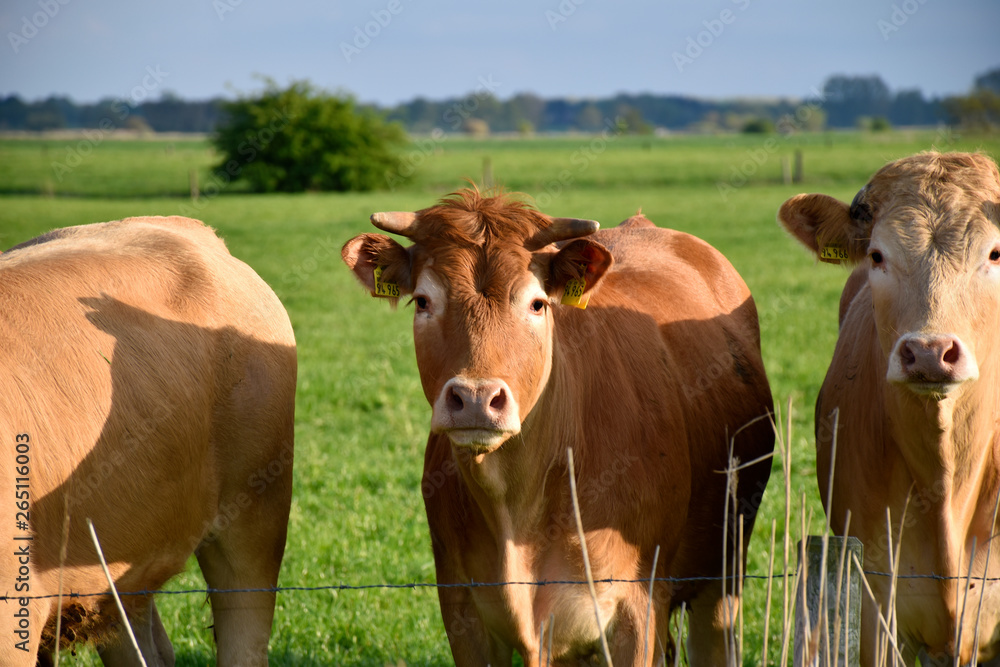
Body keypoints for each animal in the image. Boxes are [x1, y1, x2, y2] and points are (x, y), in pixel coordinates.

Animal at [342, 188, 774, 666]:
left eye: (536, 303)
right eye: (422, 301)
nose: (475, 398)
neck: (517, 509)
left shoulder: (638, 609)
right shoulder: (463, 612)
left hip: (722, 574)